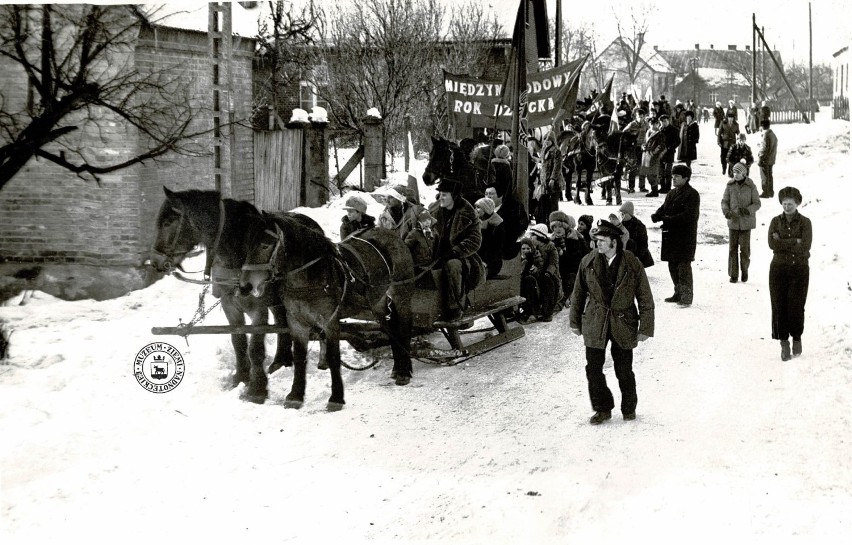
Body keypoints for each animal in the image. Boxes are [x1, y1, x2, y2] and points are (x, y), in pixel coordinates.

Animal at [148, 187, 322, 404]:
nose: (155, 262)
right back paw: (280, 361)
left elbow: (255, 349)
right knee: (282, 323)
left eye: (168, 222)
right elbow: (238, 341)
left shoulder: (258, 310)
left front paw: (257, 389)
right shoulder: (229, 305)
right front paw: (241, 377)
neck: (239, 252)